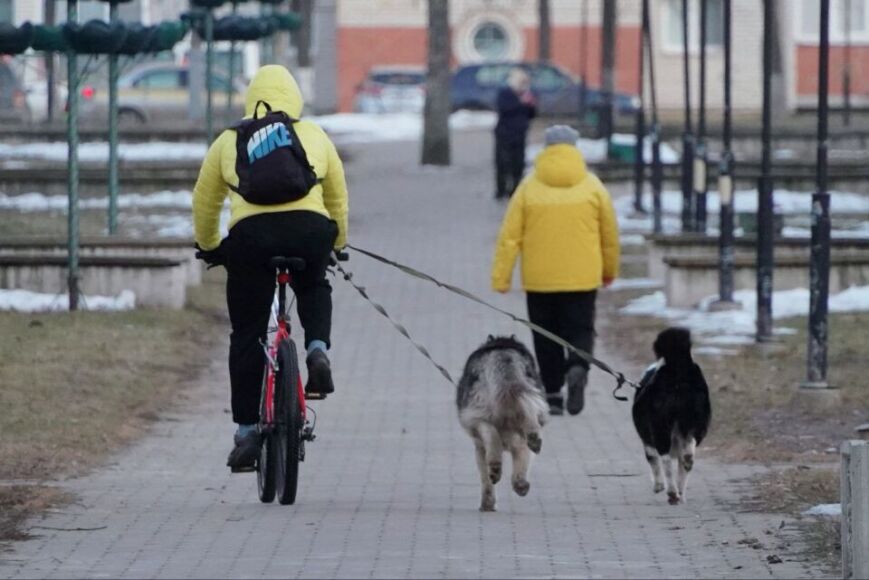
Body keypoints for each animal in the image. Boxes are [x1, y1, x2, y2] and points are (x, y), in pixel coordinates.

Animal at [456, 335, 549, 512]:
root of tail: (503, 354)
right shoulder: (518, 443)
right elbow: (522, 460)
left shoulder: (479, 448)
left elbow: (485, 480)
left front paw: (487, 504)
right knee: (527, 428)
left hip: (479, 413)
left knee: (490, 435)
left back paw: (495, 465)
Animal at [632, 327, 712, 505]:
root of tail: (678, 370)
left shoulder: (647, 438)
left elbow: (652, 459)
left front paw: (658, 486)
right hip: (696, 422)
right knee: (687, 455)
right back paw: (679, 491)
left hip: (660, 427)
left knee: (666, 461)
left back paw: (672, 492)